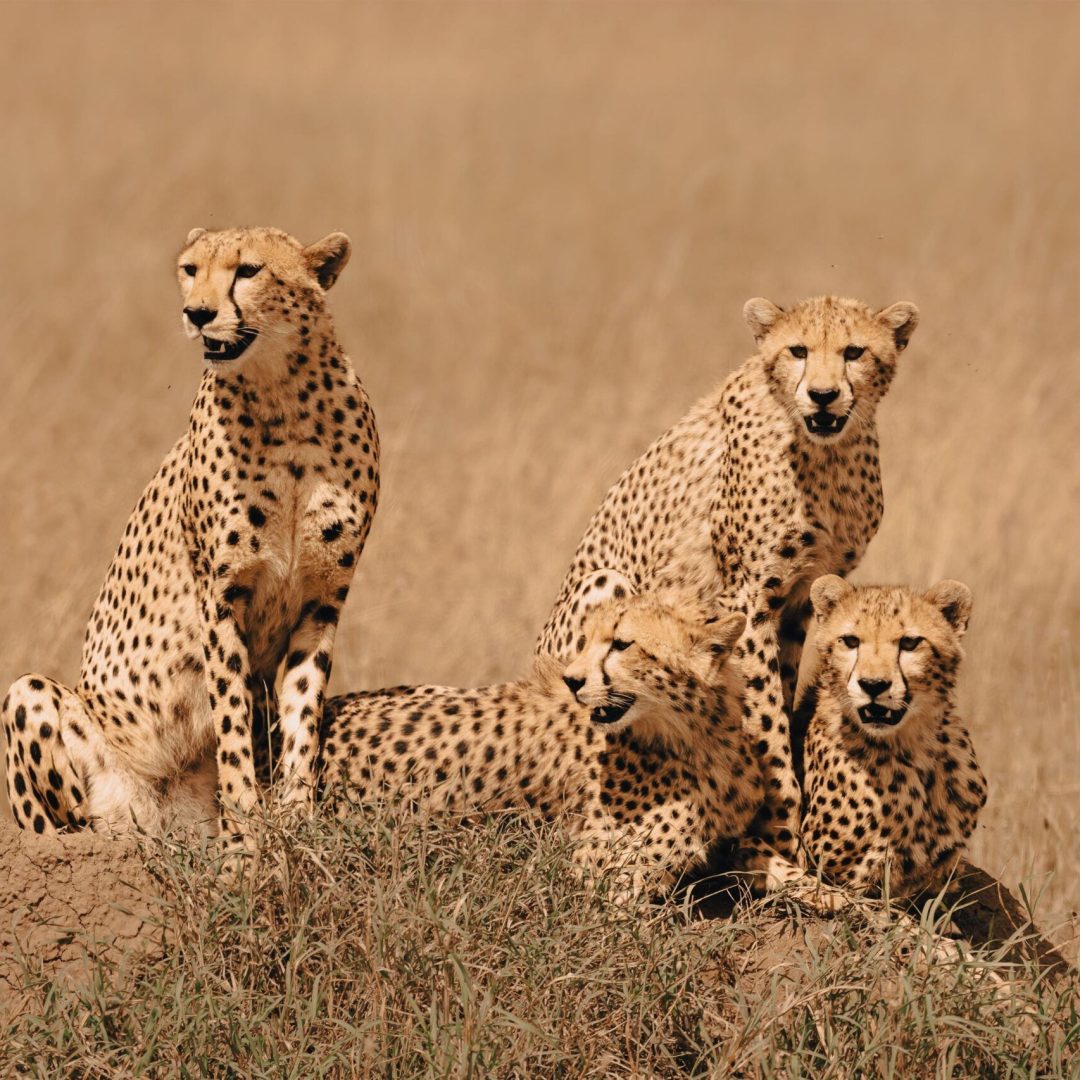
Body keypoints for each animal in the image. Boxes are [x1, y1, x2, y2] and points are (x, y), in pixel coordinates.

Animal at [3, 226, 379, 846]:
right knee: (58, 816)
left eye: (248, 270)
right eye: (189, 269)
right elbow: (229, 717)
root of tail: (152, 814)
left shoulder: (323, 598)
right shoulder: (219, 596)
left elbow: (302, 710)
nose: (197, 313)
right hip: (35, 705)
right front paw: (245, 832)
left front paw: (295, 817)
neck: (283, 395)